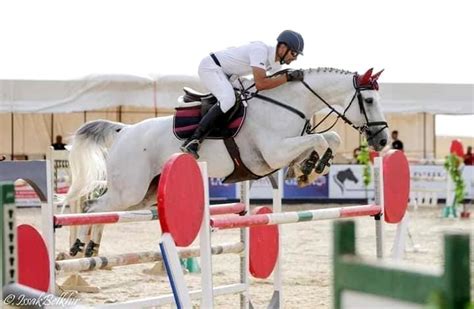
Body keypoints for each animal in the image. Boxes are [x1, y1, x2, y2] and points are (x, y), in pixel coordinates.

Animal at [65, 68, 386, 258]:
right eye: (369, 101)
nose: (382, 141)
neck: (288, 103)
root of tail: (124, 130)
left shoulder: (287, 149)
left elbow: (330, 137)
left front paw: (308, 169)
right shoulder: (274, 152)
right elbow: (321, 138)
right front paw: (310, 169)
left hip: (143, 195)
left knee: (104, 210)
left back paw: (92, 247)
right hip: (130, 189)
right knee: (93, 206)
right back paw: (78, 245)